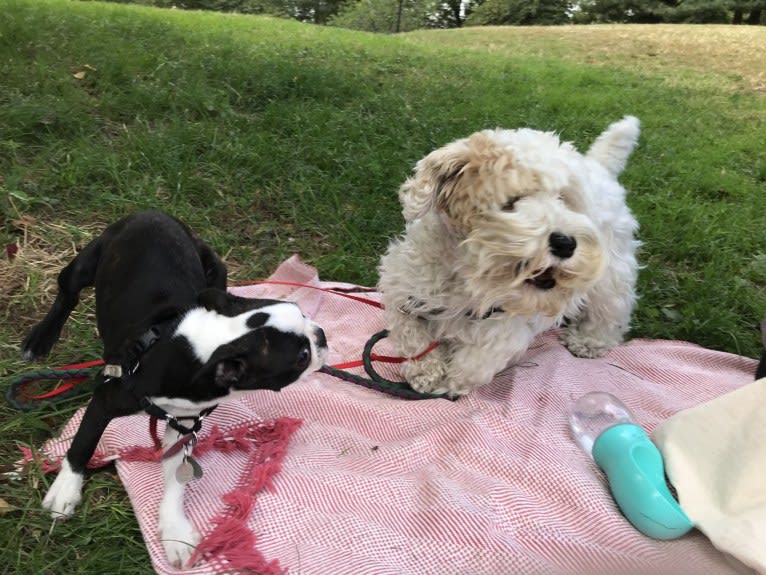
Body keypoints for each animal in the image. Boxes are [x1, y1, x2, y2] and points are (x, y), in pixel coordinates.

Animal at [21, 212, 328, 568]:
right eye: (302, 356)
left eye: (305, 315)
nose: (321, 335)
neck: (204, 346)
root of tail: (152, 213)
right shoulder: (106, 399)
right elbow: (83, 444)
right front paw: (66, 489)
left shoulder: (183, 422)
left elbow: (177, 476)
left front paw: (174, 530)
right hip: (86, 263)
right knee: (67, 292)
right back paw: (40, 338)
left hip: (216, 270)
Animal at [380, 116, 644, 396]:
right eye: (511, 202)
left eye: (562, 198)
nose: (566, 243)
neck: (467, 280)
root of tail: (600, 167)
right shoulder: (403, 291)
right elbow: (413, 338)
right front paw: (426, 372)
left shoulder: (507, 325)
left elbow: (478, 361)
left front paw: (453, 382)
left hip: (612, 276)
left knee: (610, 311)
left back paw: (589, 342)